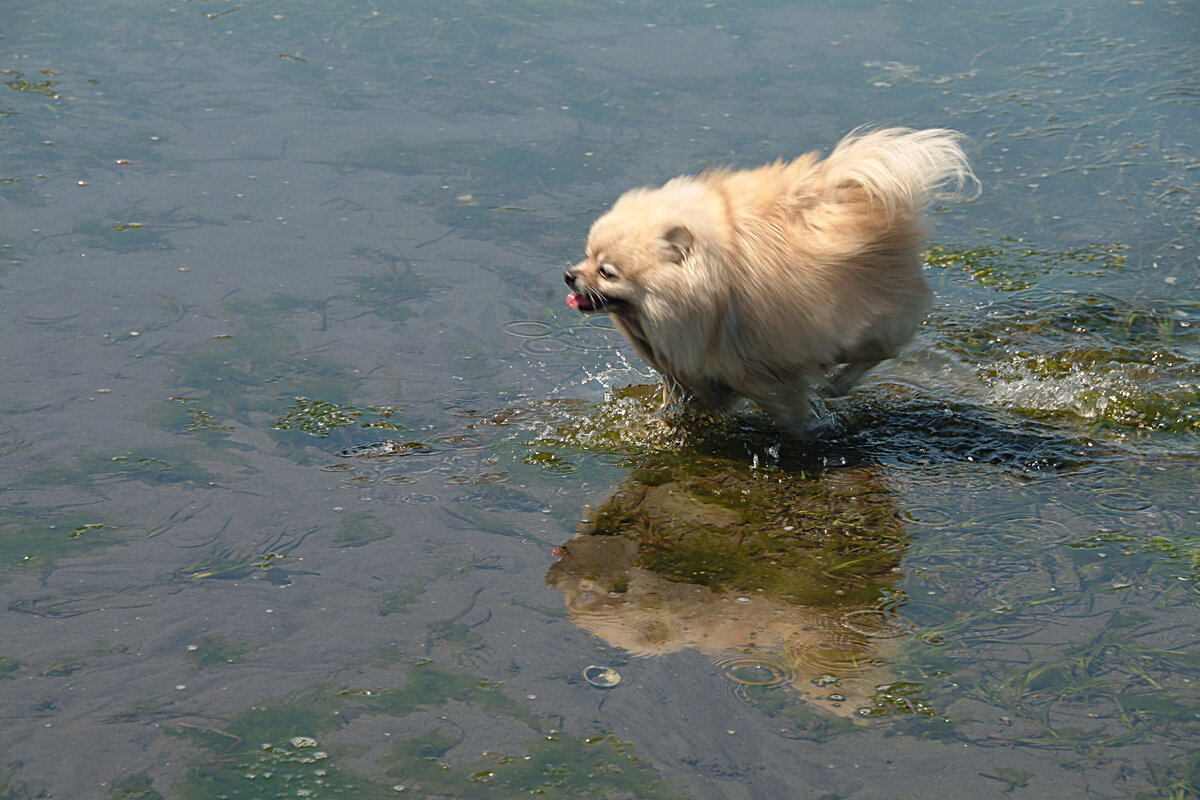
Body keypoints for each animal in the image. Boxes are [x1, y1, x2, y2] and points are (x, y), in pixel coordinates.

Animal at [564, 127, 974, 434]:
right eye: (587, 255)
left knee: (882, 350)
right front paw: (667, 424)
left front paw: (806, 431)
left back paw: (837, 383)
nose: (569, 276)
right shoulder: (688, 364)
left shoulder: (751, 366)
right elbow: (684, 398)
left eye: (606, 271)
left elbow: (785, 407)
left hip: (864, 323)